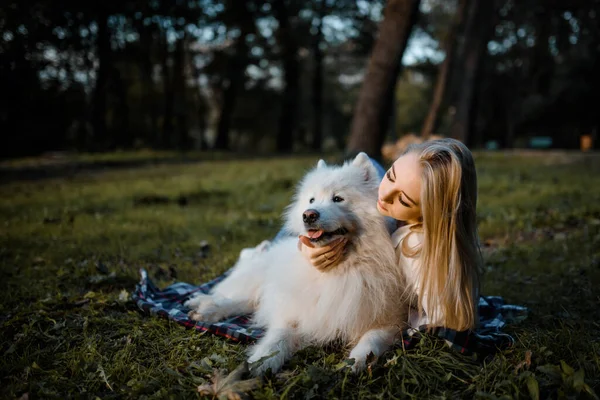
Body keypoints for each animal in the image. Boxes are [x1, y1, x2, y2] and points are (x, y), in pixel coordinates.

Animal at [185, 153, 406, 376]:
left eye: (338, 198)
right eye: (312, 200)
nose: (308, 215)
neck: (338, 268)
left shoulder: (389, 321)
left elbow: (371, 341)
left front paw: (356, 362)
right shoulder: (294, 312)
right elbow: (277, 339)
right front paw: (260, 362)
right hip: (258, 281)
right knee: (232, 297)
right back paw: (202, 306)